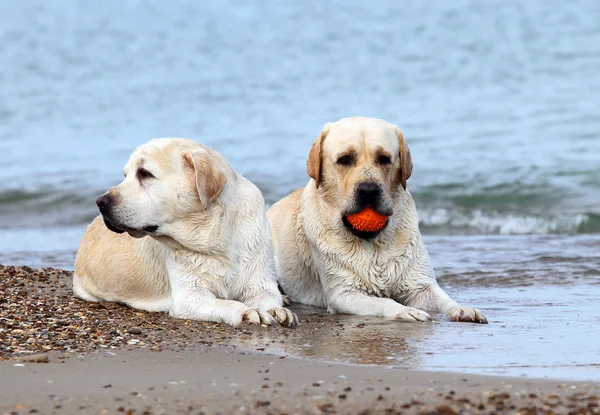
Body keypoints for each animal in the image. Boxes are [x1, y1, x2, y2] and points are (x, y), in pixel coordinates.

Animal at [73, 139, 298, 328]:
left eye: (144, 173)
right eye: (126, 175)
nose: (101, 202)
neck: (215, 236)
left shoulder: (259, 283)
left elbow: (267, 298)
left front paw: (275, 309)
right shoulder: (191, 296)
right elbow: (226, 304)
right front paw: (247, 311)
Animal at [268, 117, 488, 324]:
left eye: (384, 158)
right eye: (344, 159)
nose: (368, 190)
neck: (373, 242)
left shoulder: (420, 285)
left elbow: (444, 299)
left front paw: (463, 309)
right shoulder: (344, 293)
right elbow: (384, 301)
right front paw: (407, 311)